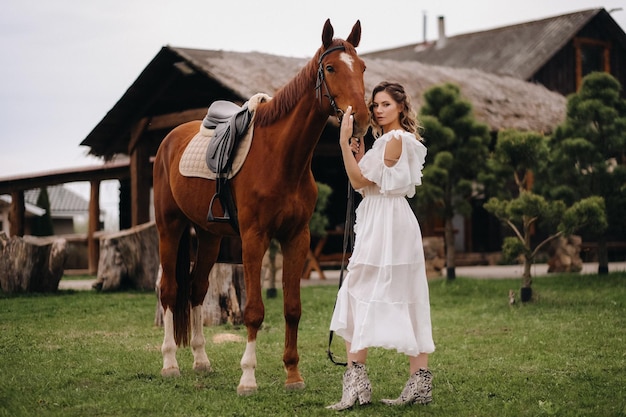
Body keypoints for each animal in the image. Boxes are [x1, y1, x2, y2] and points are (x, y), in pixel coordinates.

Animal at [152, 19, 366, 394]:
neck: (280, 156)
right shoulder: (254, 238)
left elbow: (292, 307)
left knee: (196, 290)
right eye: (330, 68)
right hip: (171, 228)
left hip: (209, 237)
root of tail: (169, 139)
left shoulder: (297, 238)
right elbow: (254, 310)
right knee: (170, 291)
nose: (365, 119)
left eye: (363, 67)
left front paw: (293, 375)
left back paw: (201, 360)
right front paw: (248, 377)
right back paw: (170, 364)